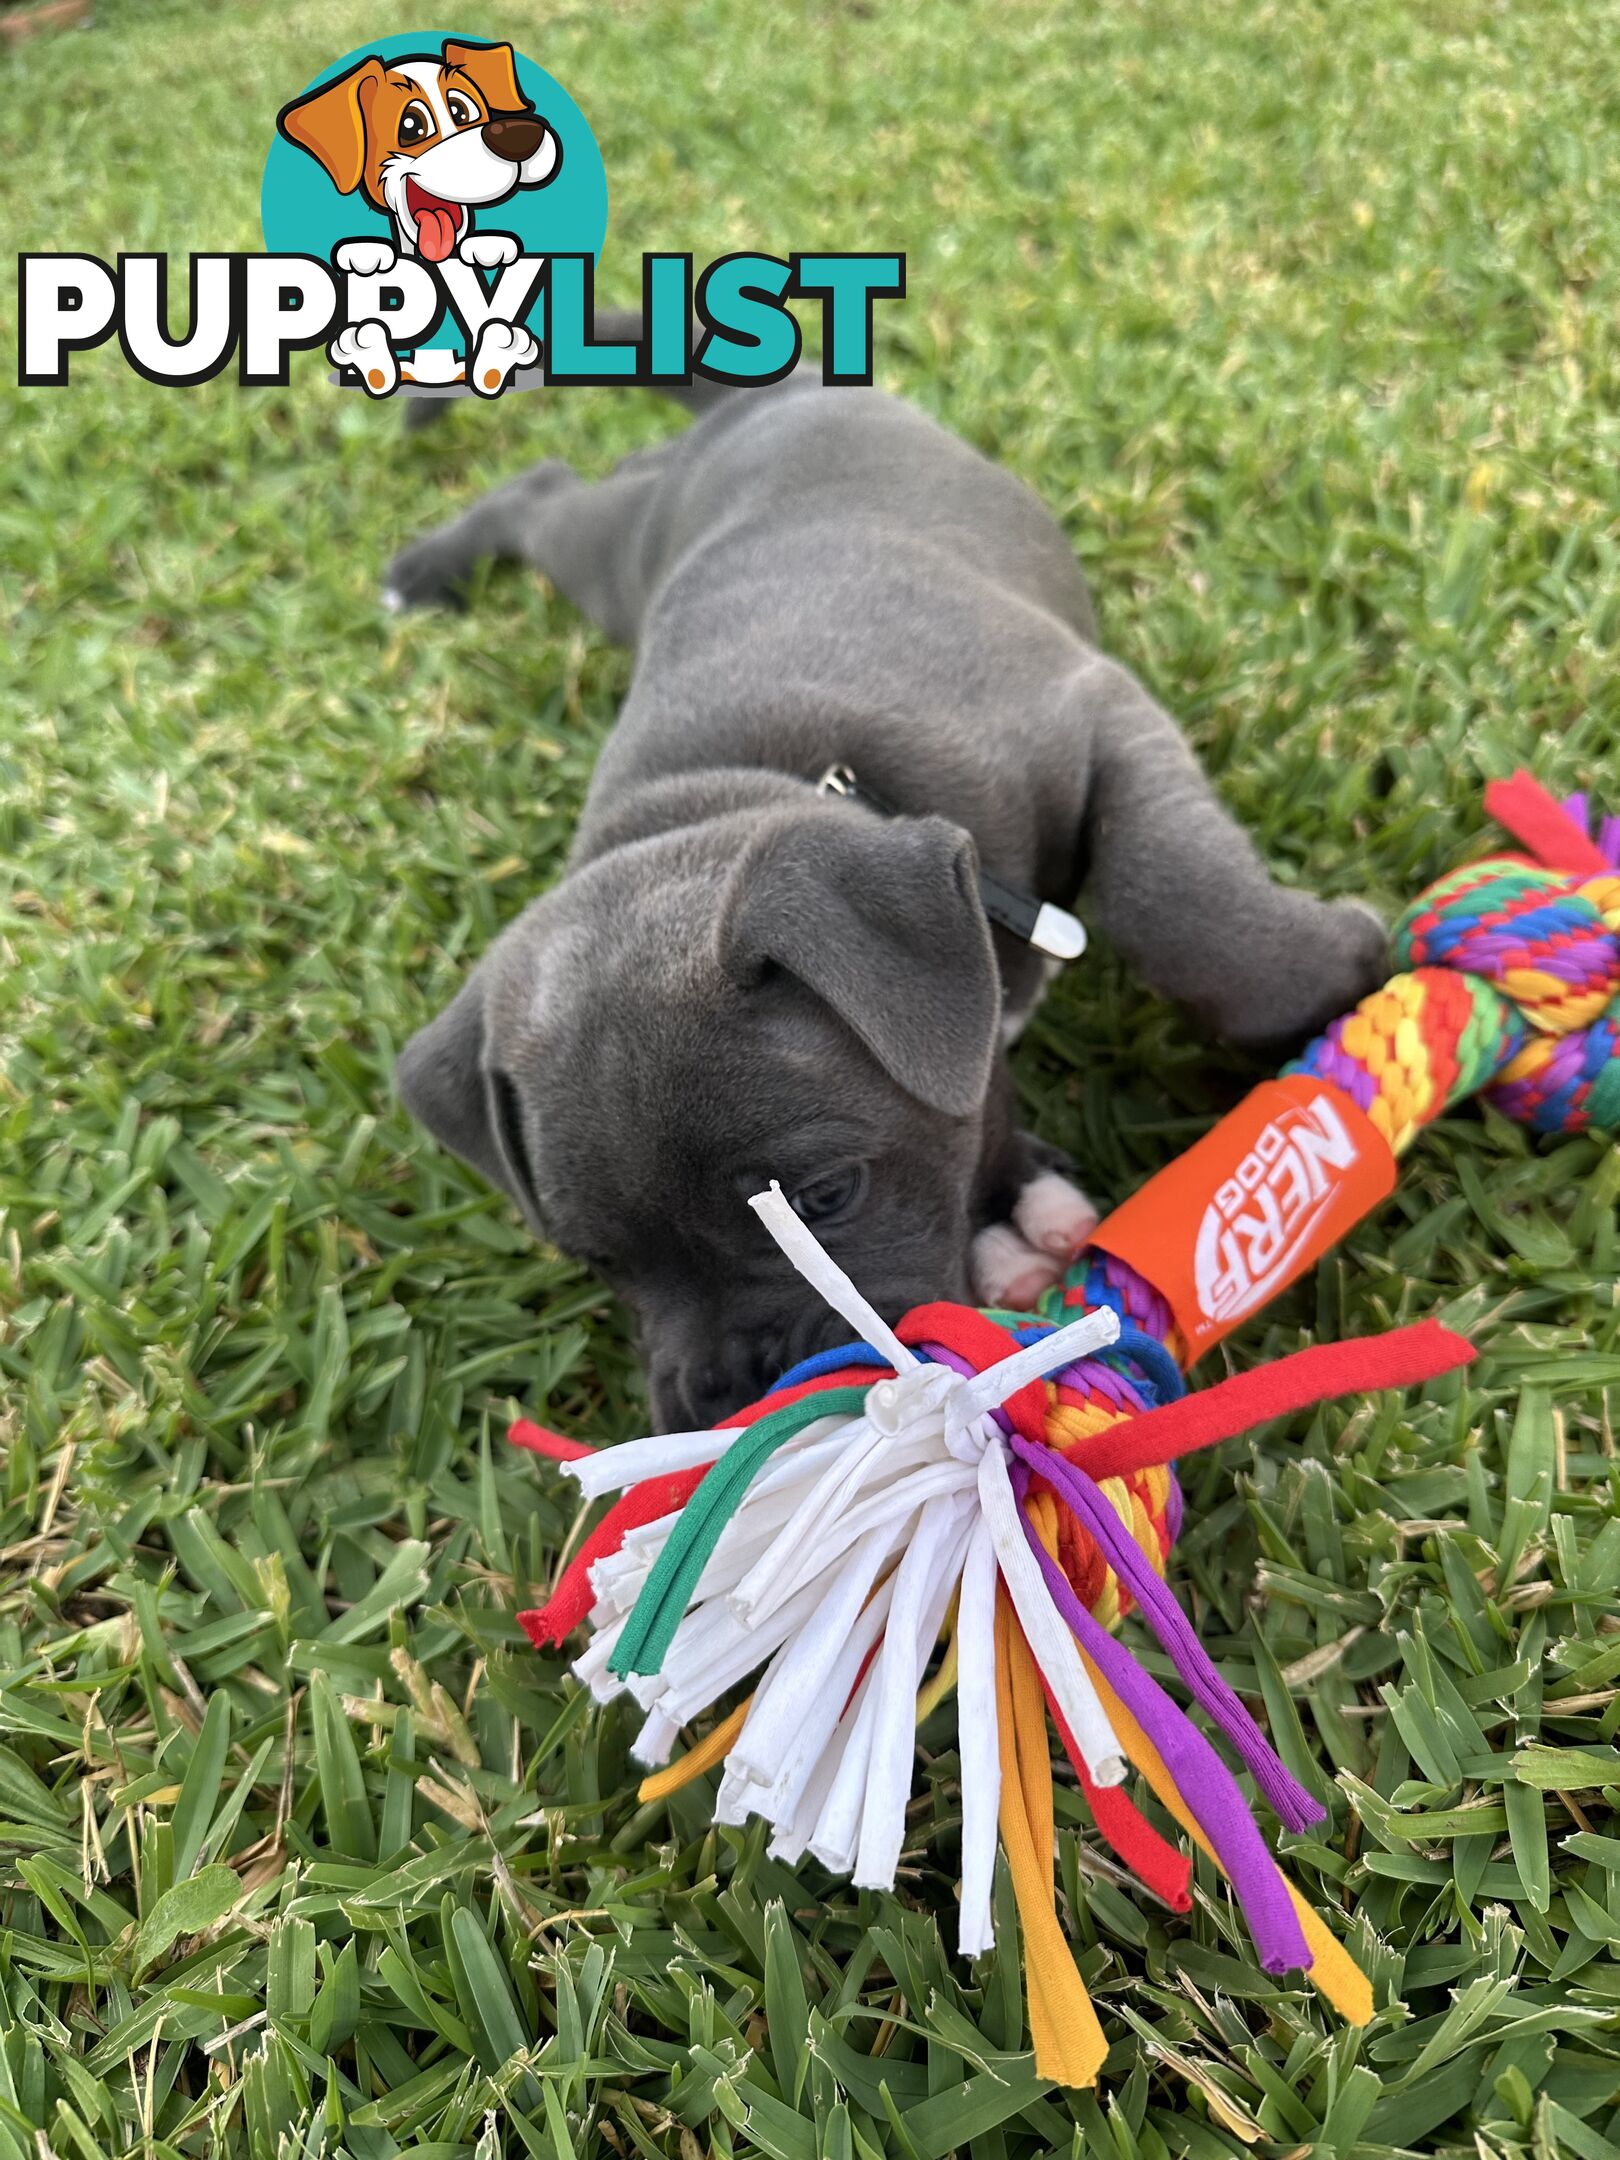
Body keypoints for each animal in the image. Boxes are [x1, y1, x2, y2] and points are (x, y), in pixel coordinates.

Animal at [386, 328, 1391, 1425]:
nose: (741, 1398)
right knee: (547, 489)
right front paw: (1007, 1210)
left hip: (618, 550)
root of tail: (770, 396)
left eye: (828, 1197)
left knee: (550, 485)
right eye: (598, 1260)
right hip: (622, 558)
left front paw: (1343, 969)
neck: (752, 792)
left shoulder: (1094, 714)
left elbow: (1180, 909)